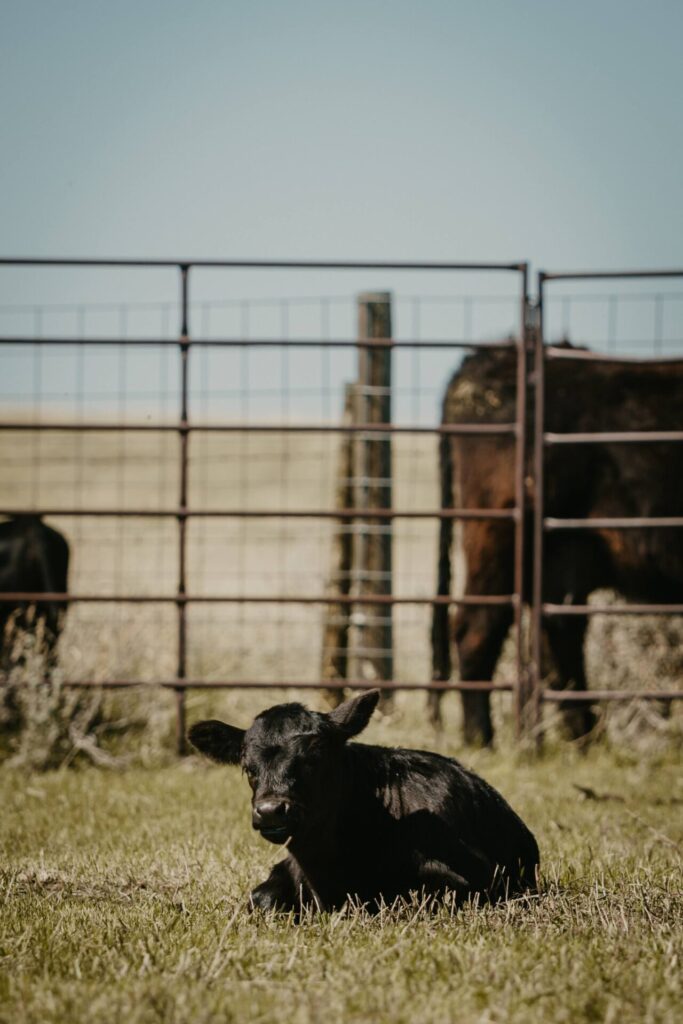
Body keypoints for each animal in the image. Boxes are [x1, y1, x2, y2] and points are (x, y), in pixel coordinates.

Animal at [431, 344, 683, 746]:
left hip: (563, 556)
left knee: (559, 639)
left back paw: (585, 739)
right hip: (500, 541)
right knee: (478, 629)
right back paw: (483, 739)